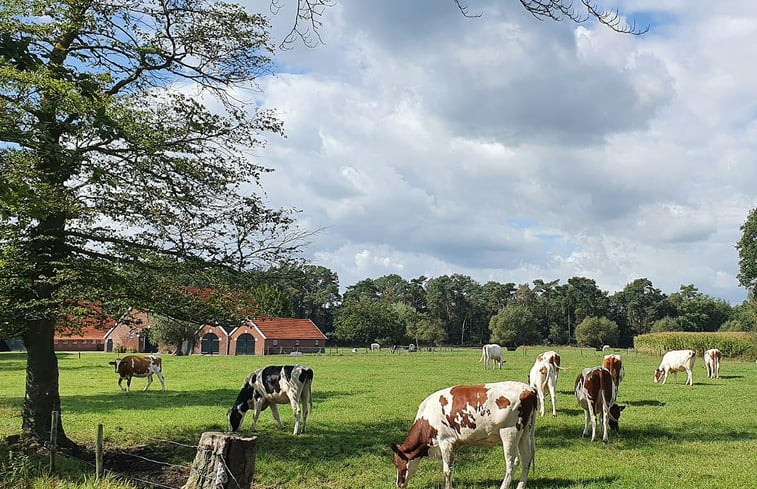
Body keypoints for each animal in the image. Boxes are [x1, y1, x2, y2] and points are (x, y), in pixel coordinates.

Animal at [390, 382, 536, 488]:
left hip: (509, 432)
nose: (399, 484)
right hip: (524, 433)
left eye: (397, 463)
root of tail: (529, 390)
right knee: (527, 459)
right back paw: (520, 486)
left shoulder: (445, 441)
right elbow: (451, 468)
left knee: (512, 461)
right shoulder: (454, 444)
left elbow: (446, 470)